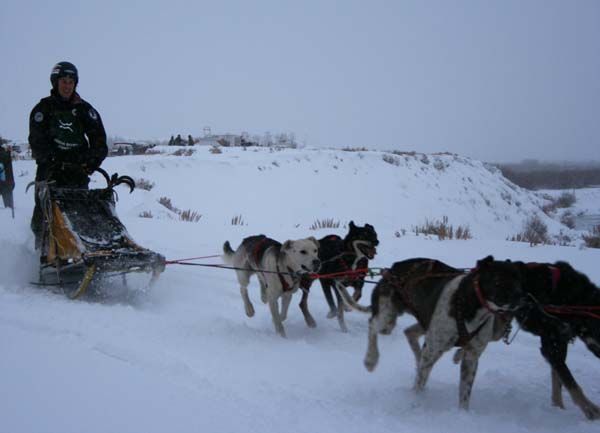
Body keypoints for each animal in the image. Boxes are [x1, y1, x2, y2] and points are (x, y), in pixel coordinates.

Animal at [358, 258, 524, 410]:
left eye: (519, 281)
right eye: (499, 280)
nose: (521, 298)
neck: (466, 303)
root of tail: (393, 267)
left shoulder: (471, 356)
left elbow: (465, 393)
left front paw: (463, 415)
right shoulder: (433, 348)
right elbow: (419, 383)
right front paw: (414, 401)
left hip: (424, 325)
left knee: (410, 334)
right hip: (387, 320)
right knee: (372, 325)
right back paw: (370, 359)